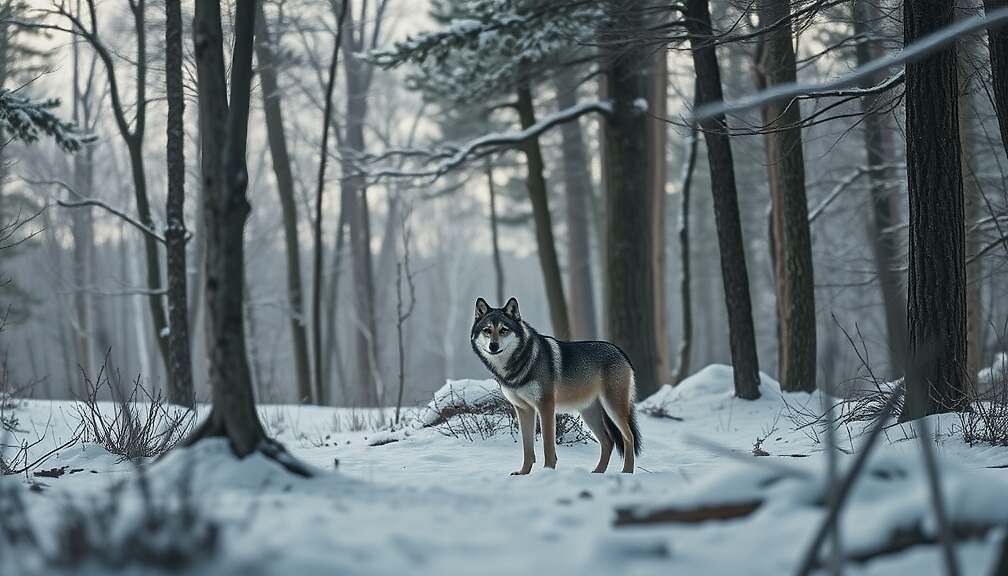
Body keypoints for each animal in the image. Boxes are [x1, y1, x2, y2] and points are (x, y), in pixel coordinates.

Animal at [470, 297, 641, 474]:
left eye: (503, 330)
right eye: (487, 330)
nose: (493, 346)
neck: (517, 366)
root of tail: (621, 352)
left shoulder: (545, 406)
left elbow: (548, 446)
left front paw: (547, 470)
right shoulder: (523, 409)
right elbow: (527, 448)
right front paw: (523, 473)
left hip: (613, 408)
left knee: (629, 437)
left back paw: (627, 471)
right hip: (590, 413)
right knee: (608, 441)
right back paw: (598, 472)